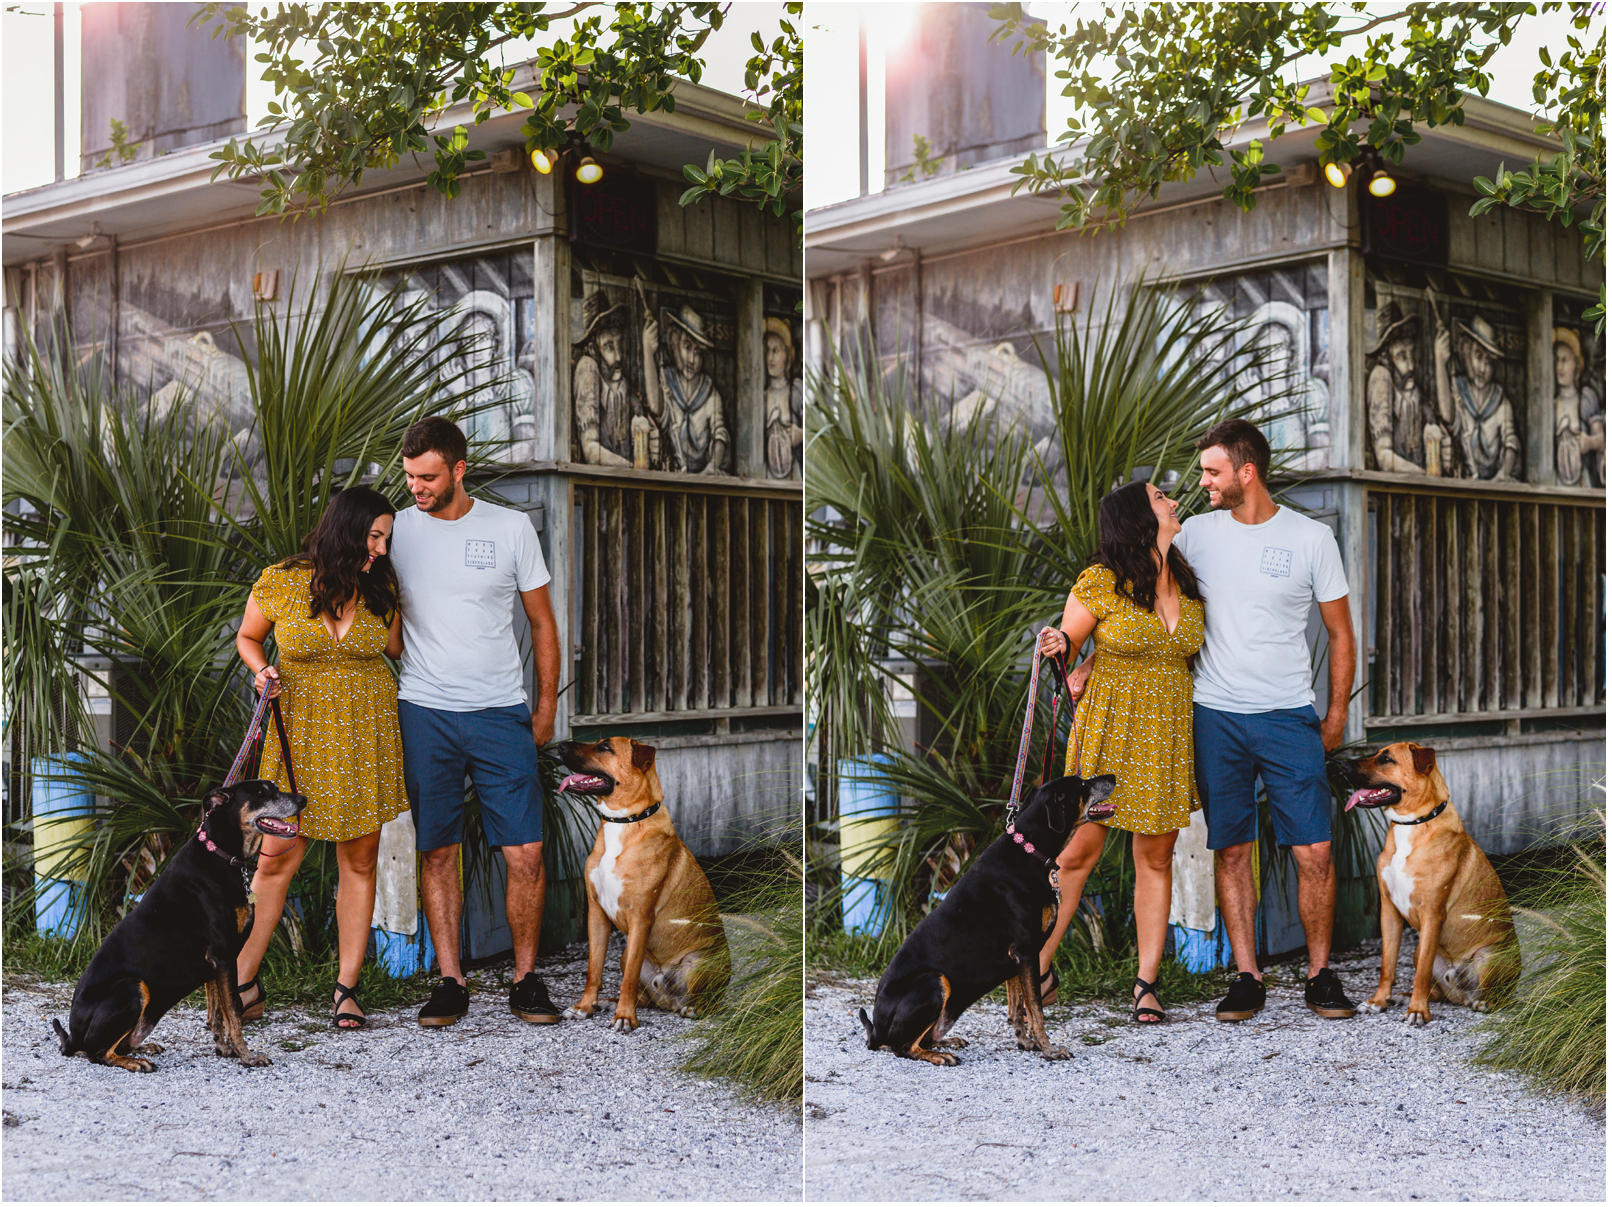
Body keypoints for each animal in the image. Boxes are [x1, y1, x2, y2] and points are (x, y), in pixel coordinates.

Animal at [51, 783, 303, 1076]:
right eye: (261, 792)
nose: (303, 800)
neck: (221, 854)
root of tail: (73, 1036)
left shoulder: (214, 964)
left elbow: (217, 1013)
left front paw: (224, 1049)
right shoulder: (223, 955)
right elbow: (234, 1011)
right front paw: (247, 1057)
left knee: (118, 1044)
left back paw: (142, 1048)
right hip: (132, 986)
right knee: (97, 1052)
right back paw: (134, 1062)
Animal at [554, 738, 731, 1031]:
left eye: (605, 747)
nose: (560, 746)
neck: (623, 821)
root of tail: (669, 999)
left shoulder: (640, 917)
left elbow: (629, 978)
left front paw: (625, 1017)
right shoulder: (596, 914)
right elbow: (594, 969)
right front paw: (585, 1007)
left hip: (696, 963)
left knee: (710, 1001)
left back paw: (693, 1007)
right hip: (625, 954)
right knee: (645, 996)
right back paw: (612, 1001)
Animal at [864, 773, 1115, 1063]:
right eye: (1082, 784)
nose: (1113, 776)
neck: (1029, 851)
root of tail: (876, 1031)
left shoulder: (1015, 960)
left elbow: (1017, 1008)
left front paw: (1025, 1043)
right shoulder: (1026, 951)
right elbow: (1036, 1011)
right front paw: (1049, 1050)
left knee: (921, 1038)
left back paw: (946, 1042)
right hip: (933, 981)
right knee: (902, 1047)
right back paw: (939, 1056)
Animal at [1341, 738, 1515, 1024]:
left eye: (1386, 759)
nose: (1342, 765)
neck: (1412, 824)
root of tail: (1461, 993)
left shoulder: (1432, 914)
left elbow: (1421, 972)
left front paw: (1418, 1011)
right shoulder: (1389, 911)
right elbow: (1387, 964)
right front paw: (1379, 1001)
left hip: (1489, 956)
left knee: (1498, 995)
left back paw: (1483, 1001)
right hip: (1419, 951)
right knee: (1439, 993)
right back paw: (1403, 996)